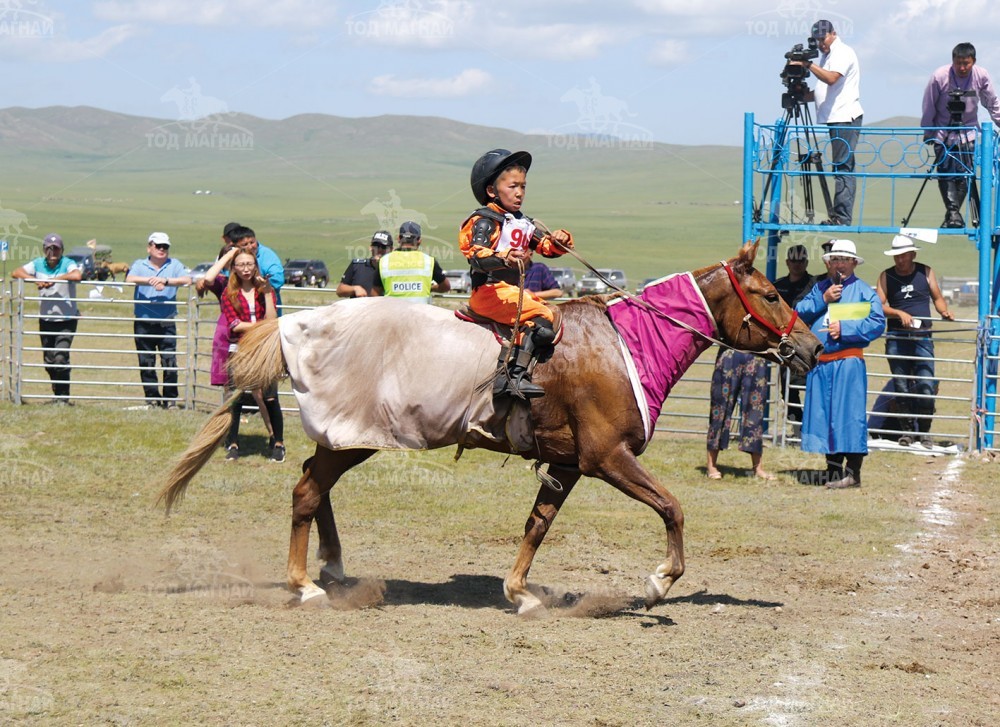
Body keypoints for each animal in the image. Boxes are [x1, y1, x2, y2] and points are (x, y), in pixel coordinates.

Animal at [159, 240, 822, 615]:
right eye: (768, 293)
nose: (813, 348)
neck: (623, 346)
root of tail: (298, 324)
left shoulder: (568, 464)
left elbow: (537, 526)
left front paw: (521, 593)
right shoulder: (608, 458)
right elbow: (673, 508)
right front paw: (660, 583)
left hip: (348, 441)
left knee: (313, 486)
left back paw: (336, 567)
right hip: (351, 439)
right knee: (305, 491)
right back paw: (307, 586)